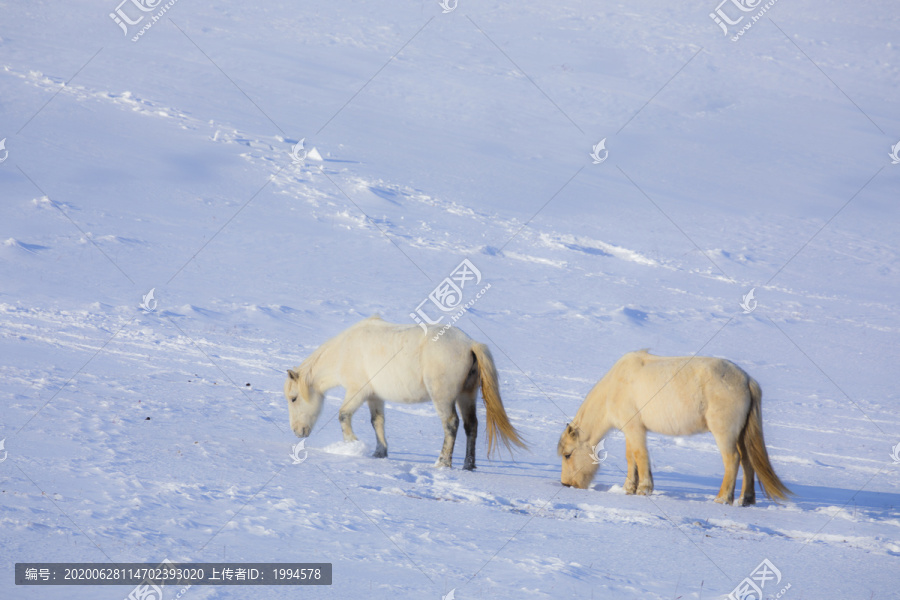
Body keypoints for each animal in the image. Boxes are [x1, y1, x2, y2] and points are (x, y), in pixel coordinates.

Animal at [284, 314, 528, 468]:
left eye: (294, 398)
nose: (297, 431)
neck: (345, 350)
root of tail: (470, 344)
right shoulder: (374, 396)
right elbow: (377, 422)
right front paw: (380, 452)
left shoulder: (358, 391)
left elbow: (343, 415)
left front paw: (352, 444)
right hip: (466, 395)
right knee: (471, 426)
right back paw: (468, 465)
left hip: (443, 397)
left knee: (451, 424)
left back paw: (443, 462)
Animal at [560, 350, 792, 504]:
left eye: (568, 455)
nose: (566, 484)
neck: (614, 389)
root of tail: (746, 380)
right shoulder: (630, 429)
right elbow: (631, 457)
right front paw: (629, 488)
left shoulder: (635, 427)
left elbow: (640, 455)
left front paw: (644, 489)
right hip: (742, 432)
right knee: (747, 460)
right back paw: (746, 499)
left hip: (724, 431)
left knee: (733, 460)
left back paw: (722, 498)